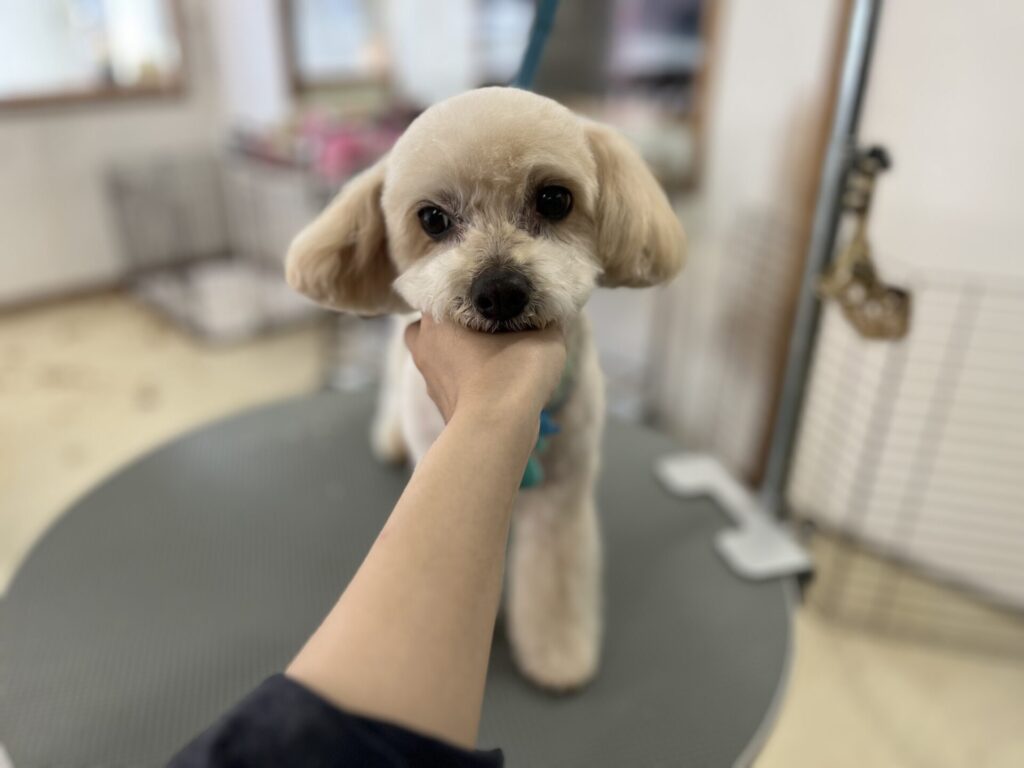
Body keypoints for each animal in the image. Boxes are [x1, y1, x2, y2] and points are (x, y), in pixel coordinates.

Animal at [286, 87, 685, 691]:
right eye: (432, 218)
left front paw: (558, 654)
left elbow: (555, 575)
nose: (499, 291)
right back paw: (388, 438)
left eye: (554, 199)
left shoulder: (564, 496)